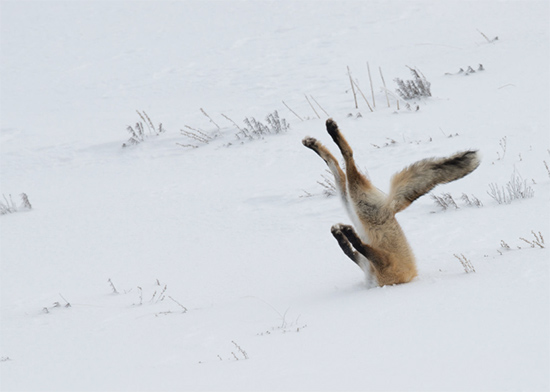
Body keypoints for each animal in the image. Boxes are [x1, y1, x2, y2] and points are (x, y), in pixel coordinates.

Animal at [304, 118, 480, 286]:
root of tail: (391, 207)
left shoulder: (383, 264)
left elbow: (357, 247)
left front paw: (346, 234)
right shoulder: (370, 263)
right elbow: (350, 249)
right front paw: (341, 234)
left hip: (357, 202)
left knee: (347, 157)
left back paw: (330, 133)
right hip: (352, 202)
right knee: (336, 163)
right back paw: (315, 142)